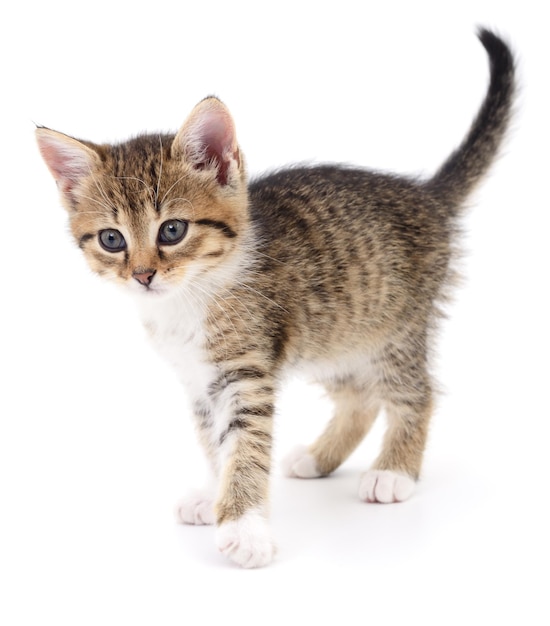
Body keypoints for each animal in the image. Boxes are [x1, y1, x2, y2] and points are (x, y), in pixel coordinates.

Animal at [36, 28, 516, 564]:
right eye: (111, 239)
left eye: (172, 230)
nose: (142, 275)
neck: (190, 298)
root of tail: (426, 195)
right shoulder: (199, 380)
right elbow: (215, 442)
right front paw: (214, 493)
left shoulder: (246, 372)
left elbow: (244, 443)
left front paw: (244, 528)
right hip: (333, 332)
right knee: (360, 397)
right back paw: (319, 457)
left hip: (395, 326)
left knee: (415, 391)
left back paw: (394, 471)